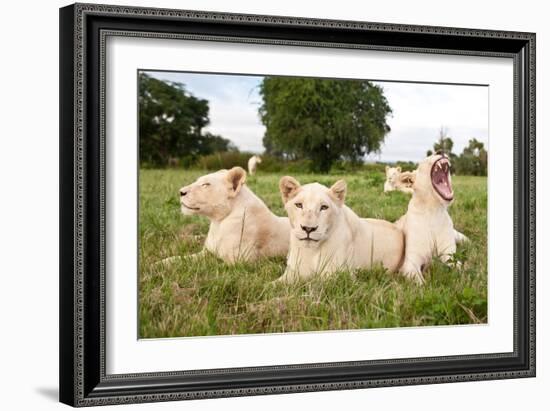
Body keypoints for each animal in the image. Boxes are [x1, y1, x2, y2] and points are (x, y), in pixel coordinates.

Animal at [276, 177, 406, 284]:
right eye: (299, 205)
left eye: (324, 207)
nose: (308, 228)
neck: (313, 250)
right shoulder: (293, 271)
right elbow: (275, 286)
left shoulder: (339, 276)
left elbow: (314, 283)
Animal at [396, 153, 470, 284]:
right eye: (427, 158)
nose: (441, 151)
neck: (433, 211)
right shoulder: (411, 263)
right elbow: (420, 283)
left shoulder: (448, 255)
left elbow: (460, 267)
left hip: (459, 237)